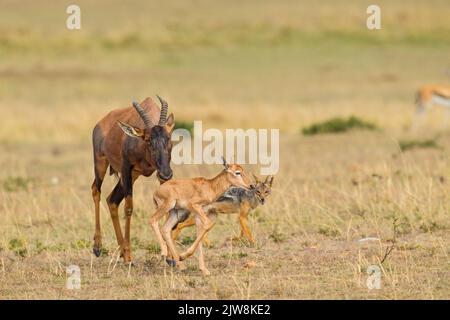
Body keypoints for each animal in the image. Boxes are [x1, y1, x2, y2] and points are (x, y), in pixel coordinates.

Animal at [91, 97, 174, 262]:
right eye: (148, 140)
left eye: (168, 138)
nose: (167, 174)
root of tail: (100, 123)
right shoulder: (125, 168)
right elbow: (129, 208)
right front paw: (129, 254)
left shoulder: (159, 173)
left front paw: (170, 257)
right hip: (101, 164)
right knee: (96, 190)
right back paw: (99, 247)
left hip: (132, 176)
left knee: (112, 200)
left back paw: (121, 251)